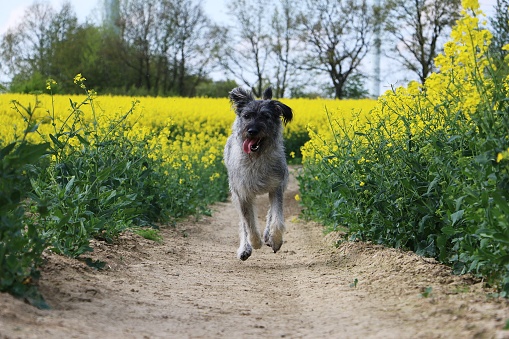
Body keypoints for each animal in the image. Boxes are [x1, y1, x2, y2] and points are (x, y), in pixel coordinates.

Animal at [223, 86, 292, 262]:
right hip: (235, 193)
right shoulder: (243, 195)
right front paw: (254, 243)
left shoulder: (276, 188)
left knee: (270, 214)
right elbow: (249, 224)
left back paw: (268, 236)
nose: (252, 131)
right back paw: (245, 248)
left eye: (266, 116)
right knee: (243, 222)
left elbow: (277, 219)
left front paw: (275, 240)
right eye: (247, 116)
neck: (257, 159)